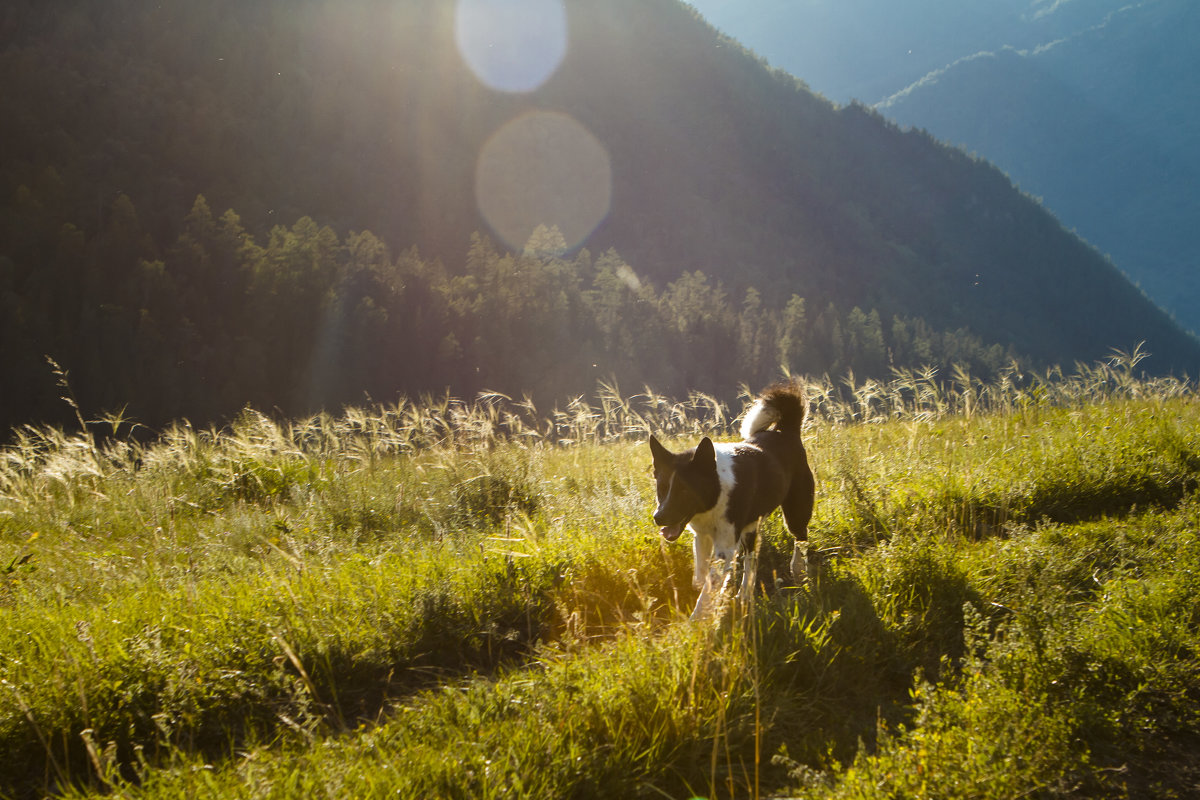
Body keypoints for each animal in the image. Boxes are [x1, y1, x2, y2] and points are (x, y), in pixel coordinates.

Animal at [648, 381, 816, 618]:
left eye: (685, 491)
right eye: (661, 489)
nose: (658, 517)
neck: (716, 493)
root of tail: (786, 430)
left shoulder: (725, 547)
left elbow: (708, 587)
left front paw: (695, 621)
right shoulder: (703, 536)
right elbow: (702, 575)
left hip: (796, 513)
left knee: (800, 540)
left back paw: (799, 572)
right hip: (751, 526)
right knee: (751, 559)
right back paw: (744, 595)